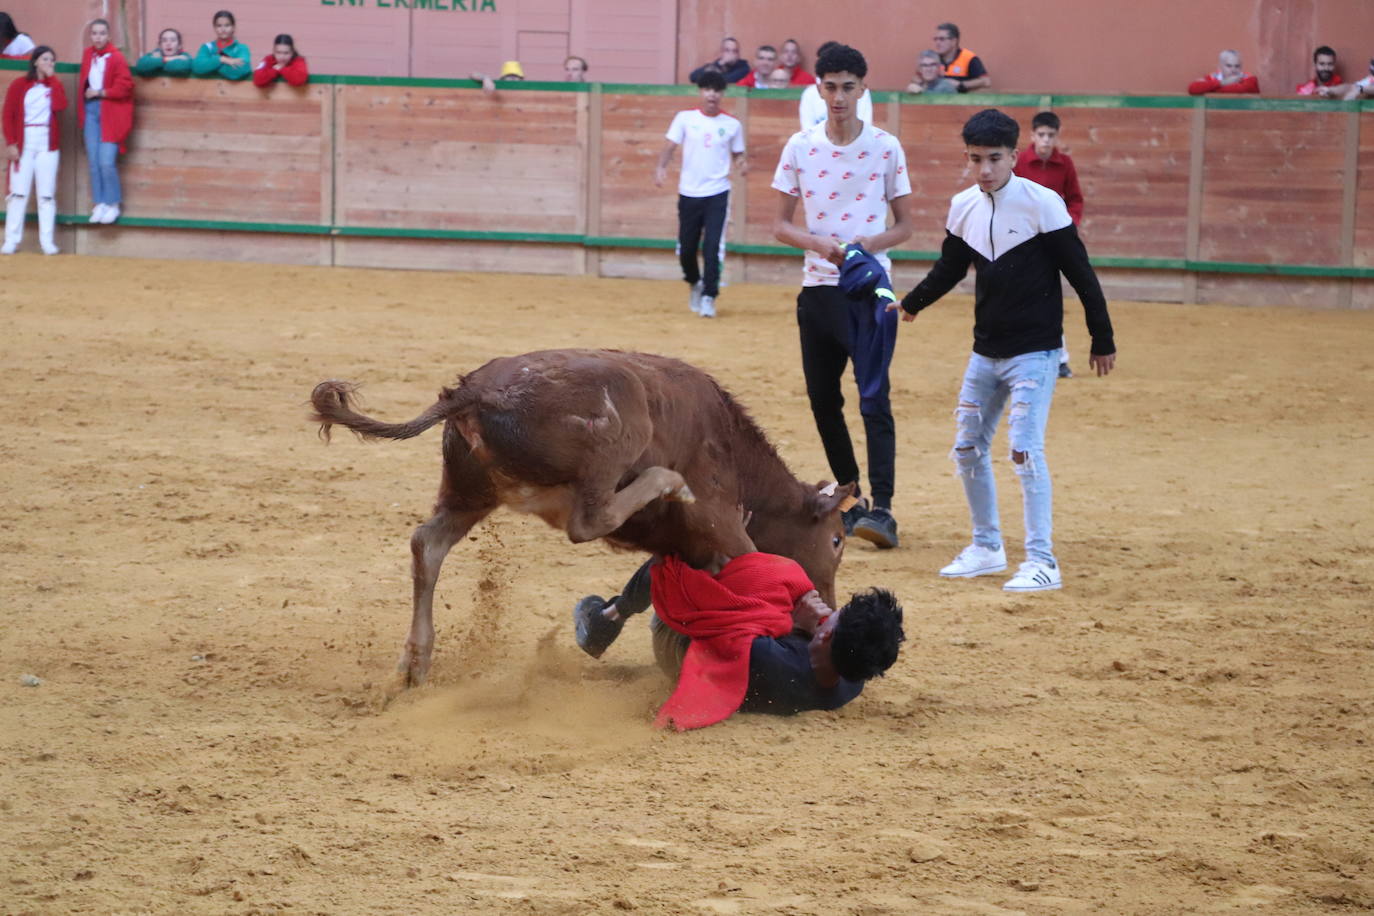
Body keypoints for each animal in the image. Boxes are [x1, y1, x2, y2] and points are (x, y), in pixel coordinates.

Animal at [313, 351, 851, 686]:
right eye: (838, 540)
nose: (829, 600)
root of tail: (474, 392)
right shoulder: (720, 520)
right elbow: (760, 565)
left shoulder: (688, 547)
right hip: (613, 444)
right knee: (588, 520)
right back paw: (665, 479)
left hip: (469, 494)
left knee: (427, 544)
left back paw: (416, 662)